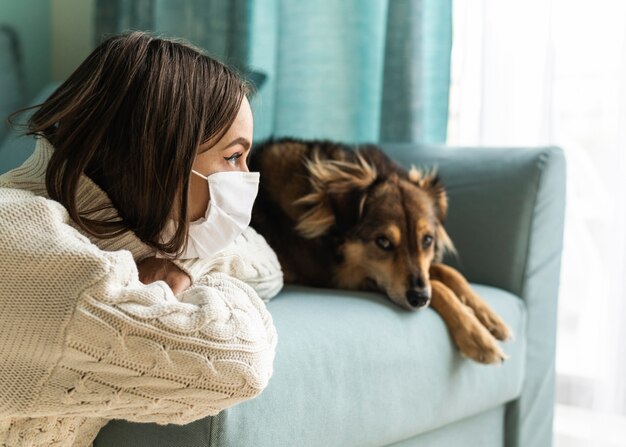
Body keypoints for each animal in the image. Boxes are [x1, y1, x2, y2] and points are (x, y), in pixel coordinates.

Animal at [246, 137, 510, 364]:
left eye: (427, 240)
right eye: (383, 241)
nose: (419, 298)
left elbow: (447, 272)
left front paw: (491, 319)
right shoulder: (343, 277)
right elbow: (439, 286)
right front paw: (477, 337)